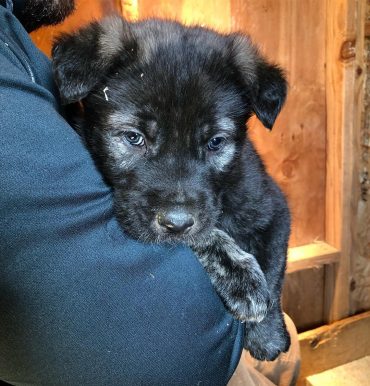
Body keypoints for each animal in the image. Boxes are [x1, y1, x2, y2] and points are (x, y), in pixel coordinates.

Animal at [52, 16, 290, 360]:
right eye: (134, 137)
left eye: (215, 142)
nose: (176, 223)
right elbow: (204, 234)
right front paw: (240, 274)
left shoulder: (274, 208)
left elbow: (273, 270)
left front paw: (267, 333)